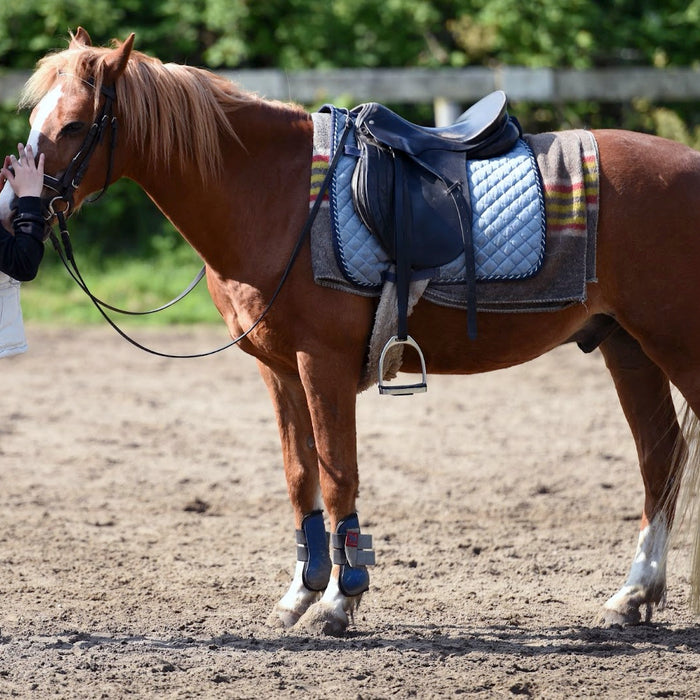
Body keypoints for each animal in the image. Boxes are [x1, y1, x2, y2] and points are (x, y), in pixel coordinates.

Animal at [5, 30, 700, 636]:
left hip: (674, 346)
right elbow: (300, 475)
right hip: (627, 347)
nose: (17, 211)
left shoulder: (323, 364)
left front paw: (340, 601)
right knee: (660, 455)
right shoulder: (279, 369)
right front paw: (301, 593)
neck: (273, 194)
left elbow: (339, 474)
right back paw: (633, 594)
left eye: (74, 125)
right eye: (37, 116)